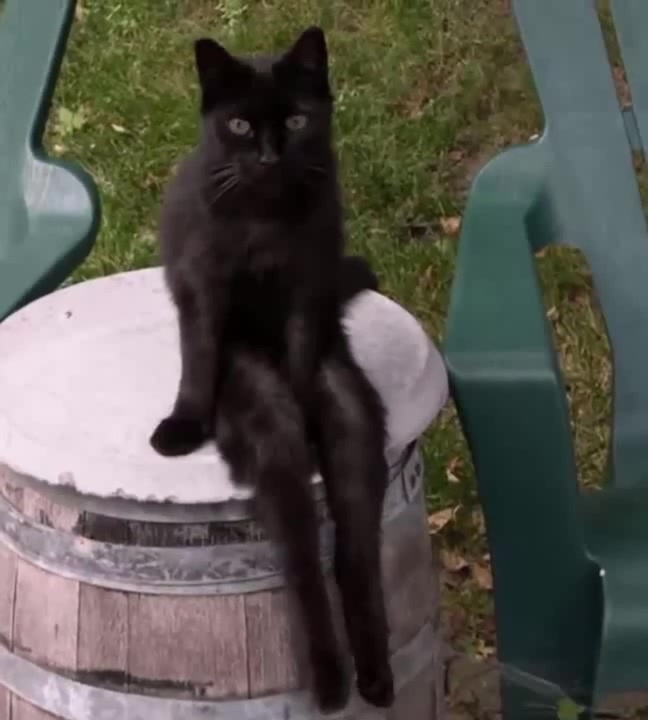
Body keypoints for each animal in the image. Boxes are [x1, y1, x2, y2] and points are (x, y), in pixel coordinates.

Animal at [149, 26, 393, 712]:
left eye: (295, 120)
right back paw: (334, 683)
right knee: (303, 552)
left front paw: (302, 384)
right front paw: (183, 424)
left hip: (353, 412)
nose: (267, 155)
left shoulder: (308, 283)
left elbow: (303, 343)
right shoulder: (205, 284)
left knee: (355, 546)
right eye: (238, 124)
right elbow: (199, 354)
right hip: (260, 413)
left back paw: (373, 676)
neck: (263, 218)